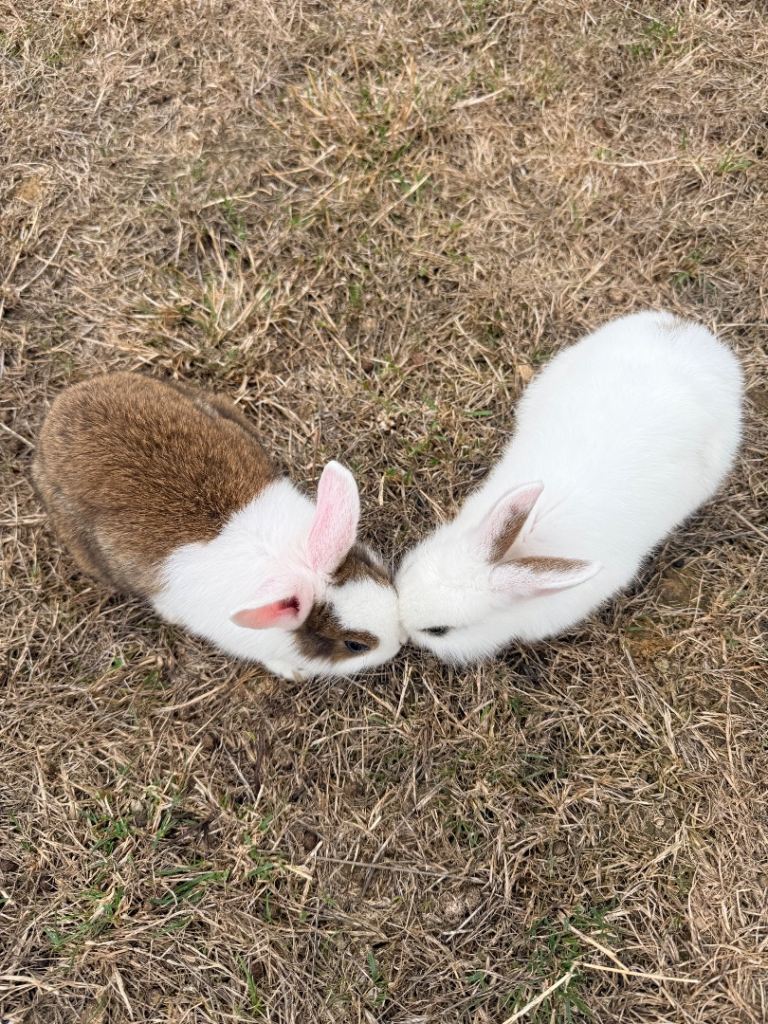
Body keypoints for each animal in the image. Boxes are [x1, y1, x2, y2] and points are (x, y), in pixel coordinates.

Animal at [33, 372, 403, 680]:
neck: (293, 565)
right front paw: (294, 672)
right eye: (354, 645)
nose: (398, 641)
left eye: (378, 575)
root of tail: (59, 410)